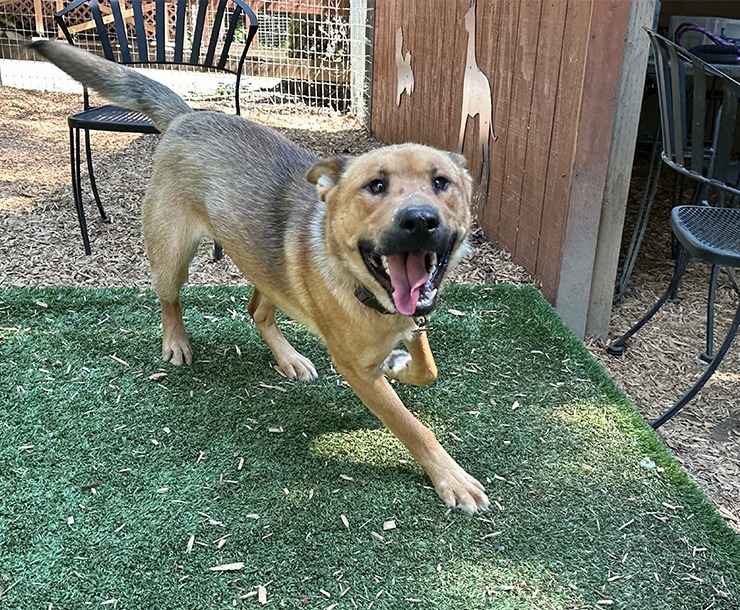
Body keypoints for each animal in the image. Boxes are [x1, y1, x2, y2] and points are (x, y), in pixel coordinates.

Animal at [31, 40, 488, 510]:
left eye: (441, 182)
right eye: (375, 186)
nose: (420, 220)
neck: (363, 287)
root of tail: (186, 116)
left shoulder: (413, 322)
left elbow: (427, 368)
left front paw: (400, 363)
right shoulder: (357, 370)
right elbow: (412, 426)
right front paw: (451, 477)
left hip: (267, 271)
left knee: (256, 310)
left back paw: (288, 358)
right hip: (173, 254)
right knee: (169, 298)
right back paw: (177, 342)